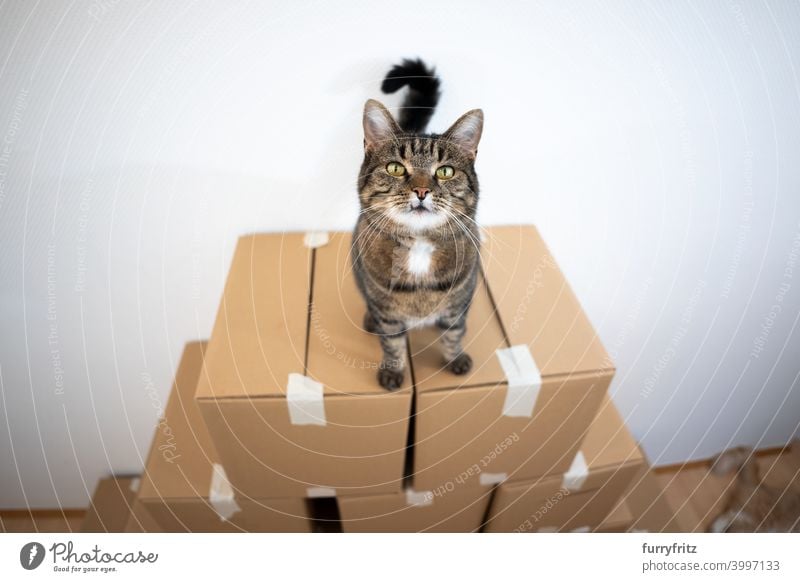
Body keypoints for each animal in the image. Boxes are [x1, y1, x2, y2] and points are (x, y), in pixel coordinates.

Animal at [352, 59, 482, 390]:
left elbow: (454, 333)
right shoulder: (388, 314)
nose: (421, 191)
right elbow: (392, 343)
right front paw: (393, 371)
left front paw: (454, 358)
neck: (419, 245)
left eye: (446, 171)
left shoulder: (460, 302)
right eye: (396, 168)